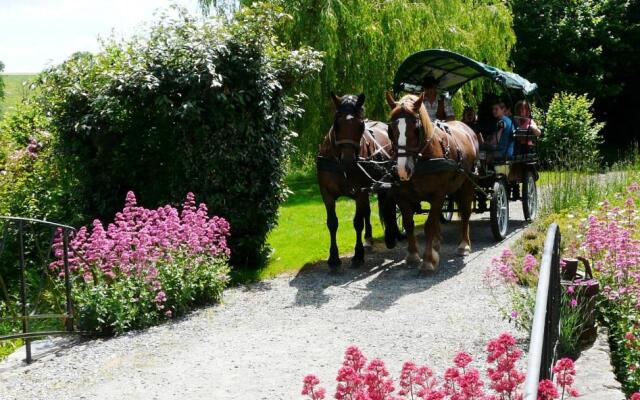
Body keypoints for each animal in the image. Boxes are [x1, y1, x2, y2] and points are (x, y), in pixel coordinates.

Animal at [316, 93, 400, 272]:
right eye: (336, 123)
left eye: (361, 125)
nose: (348, 161)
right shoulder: (327, 193)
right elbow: (332, 223)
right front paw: (334, 258)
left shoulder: (360, 192)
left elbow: (357, 222)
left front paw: (358, 255)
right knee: (369, 210)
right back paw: (369, 238)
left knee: (388, 204)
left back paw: (392, 235)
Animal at [380, 92, 480, 272]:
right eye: (391, 130)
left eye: (416, 129)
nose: (402, 170)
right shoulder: (402, 197)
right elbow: (409, 223)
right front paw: (413, 255)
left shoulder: (438, 195)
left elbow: (430, 226)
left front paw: (428, 261)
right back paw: (436, 243)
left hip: (467, 184)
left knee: (465, 212)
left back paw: (464, 245)